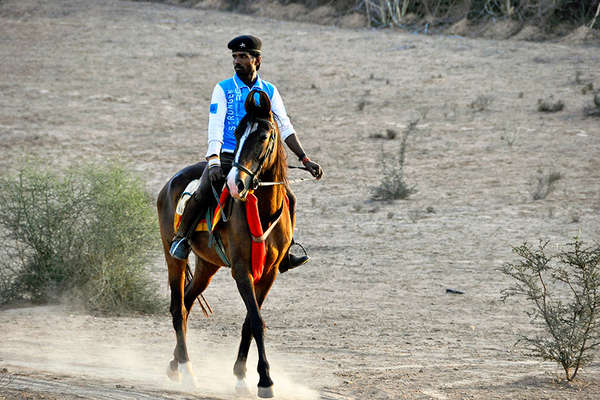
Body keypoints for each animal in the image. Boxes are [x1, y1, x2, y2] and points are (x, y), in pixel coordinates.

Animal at [156, 89, 294, 398]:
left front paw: (241, 376)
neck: (263, 211)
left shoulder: (268, 274)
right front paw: (265, 381)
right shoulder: (242, 271)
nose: (236, 184)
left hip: (207, 265)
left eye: (263, 136)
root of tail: (168, 183)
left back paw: (173, 364)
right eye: (238, 133)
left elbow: (249, 323)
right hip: (174, 257)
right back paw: (187, 370)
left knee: (187, 303)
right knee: (177, 309)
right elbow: (256, 321)